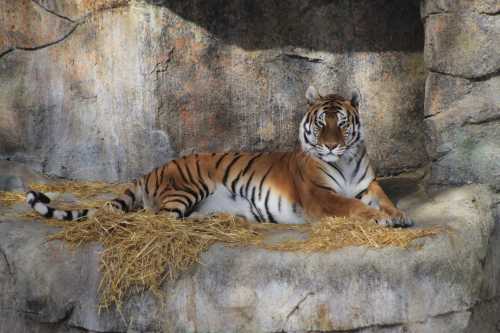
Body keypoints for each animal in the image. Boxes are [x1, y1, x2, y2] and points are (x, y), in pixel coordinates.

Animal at [25, 85, 412, 226]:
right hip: (184, 189)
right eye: (321, 125)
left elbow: (384, 200)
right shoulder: (320, 196)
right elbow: (351, 207)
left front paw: (399, 215)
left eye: (342, 124)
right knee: (153, 219)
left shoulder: (368, 186)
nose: (331, 146)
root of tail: (152, 171)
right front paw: (382, 219)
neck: (343, 163)